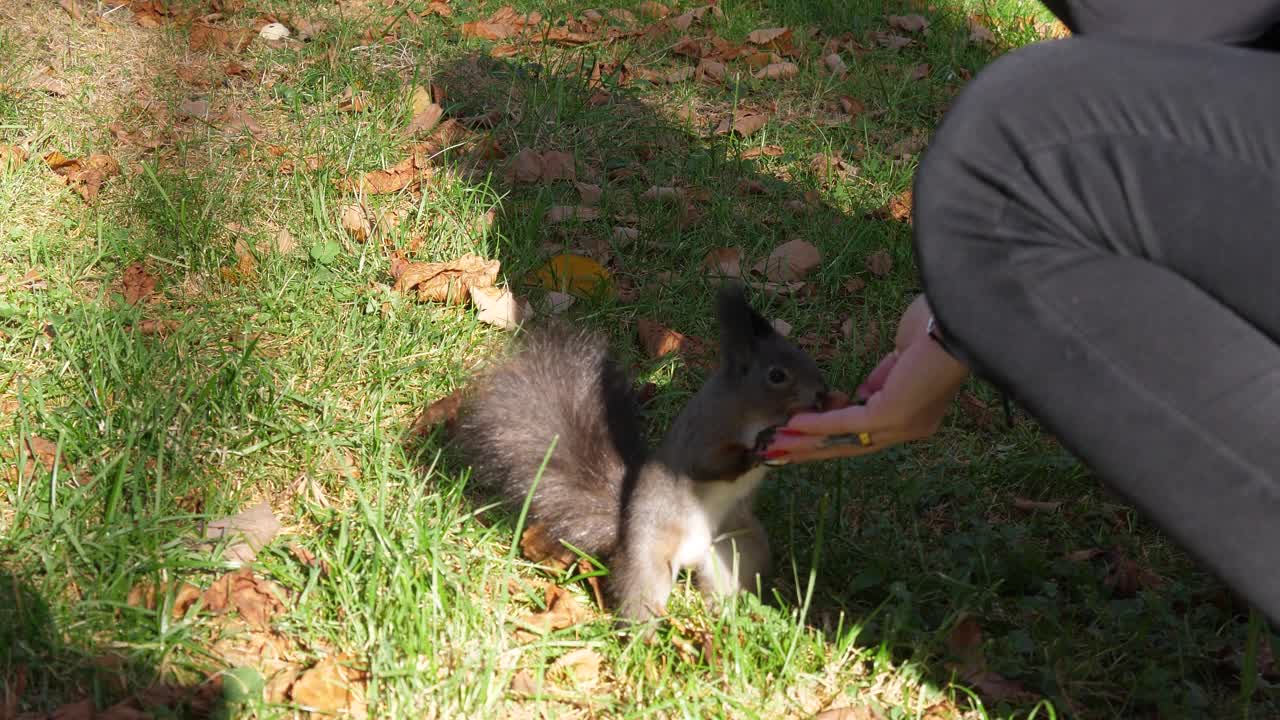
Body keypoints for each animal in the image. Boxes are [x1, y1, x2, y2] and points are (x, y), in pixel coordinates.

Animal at [455, 283, 834, 620]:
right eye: (777, 375)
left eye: (804, 356)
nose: (822, 393)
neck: (751, 412)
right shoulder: (705, 433)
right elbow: (710, 464)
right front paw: (756, 450)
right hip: (649, 554)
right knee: (643, 593)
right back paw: (644, 635)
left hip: (737, 547)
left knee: (725, 582)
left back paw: (724, 619)